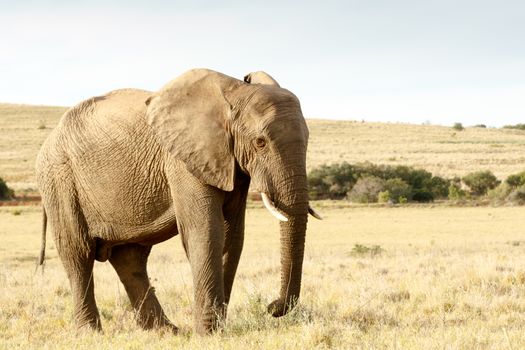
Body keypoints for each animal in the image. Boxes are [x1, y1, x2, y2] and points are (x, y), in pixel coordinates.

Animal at [35, 67, 320, 334]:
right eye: (260, 142)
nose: (272, 307)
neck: (233, 93)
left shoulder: (230, 163)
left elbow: (232, 236)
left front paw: (216, 329)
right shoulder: (184, 159)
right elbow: (206, 231)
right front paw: (208, 334)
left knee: (130, 258)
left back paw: (165, 331)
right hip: (59, 179)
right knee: (78, 254)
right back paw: (91, 332)